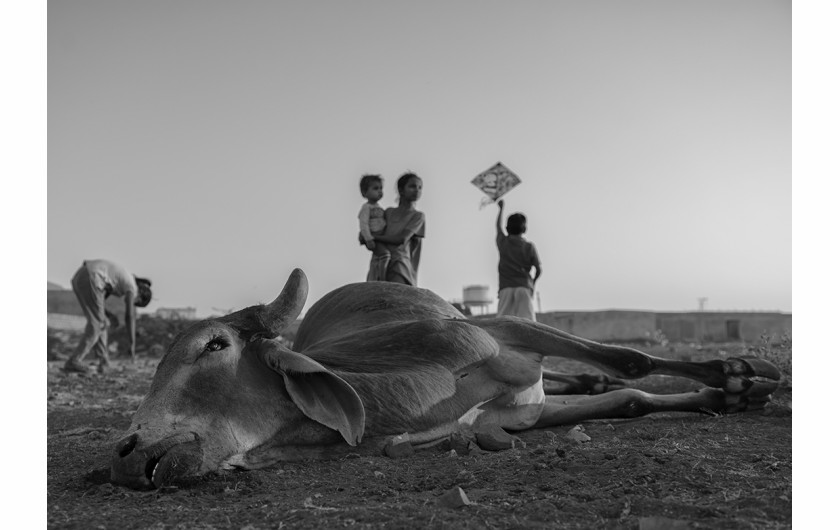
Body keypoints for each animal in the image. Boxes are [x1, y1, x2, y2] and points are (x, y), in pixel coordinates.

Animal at [111, 270, 780, 488]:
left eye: (213, 345)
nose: (125, 452)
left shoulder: (504, 330)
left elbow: (631, 367)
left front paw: (738, 378)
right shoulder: (523, 414)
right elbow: (629, 400)